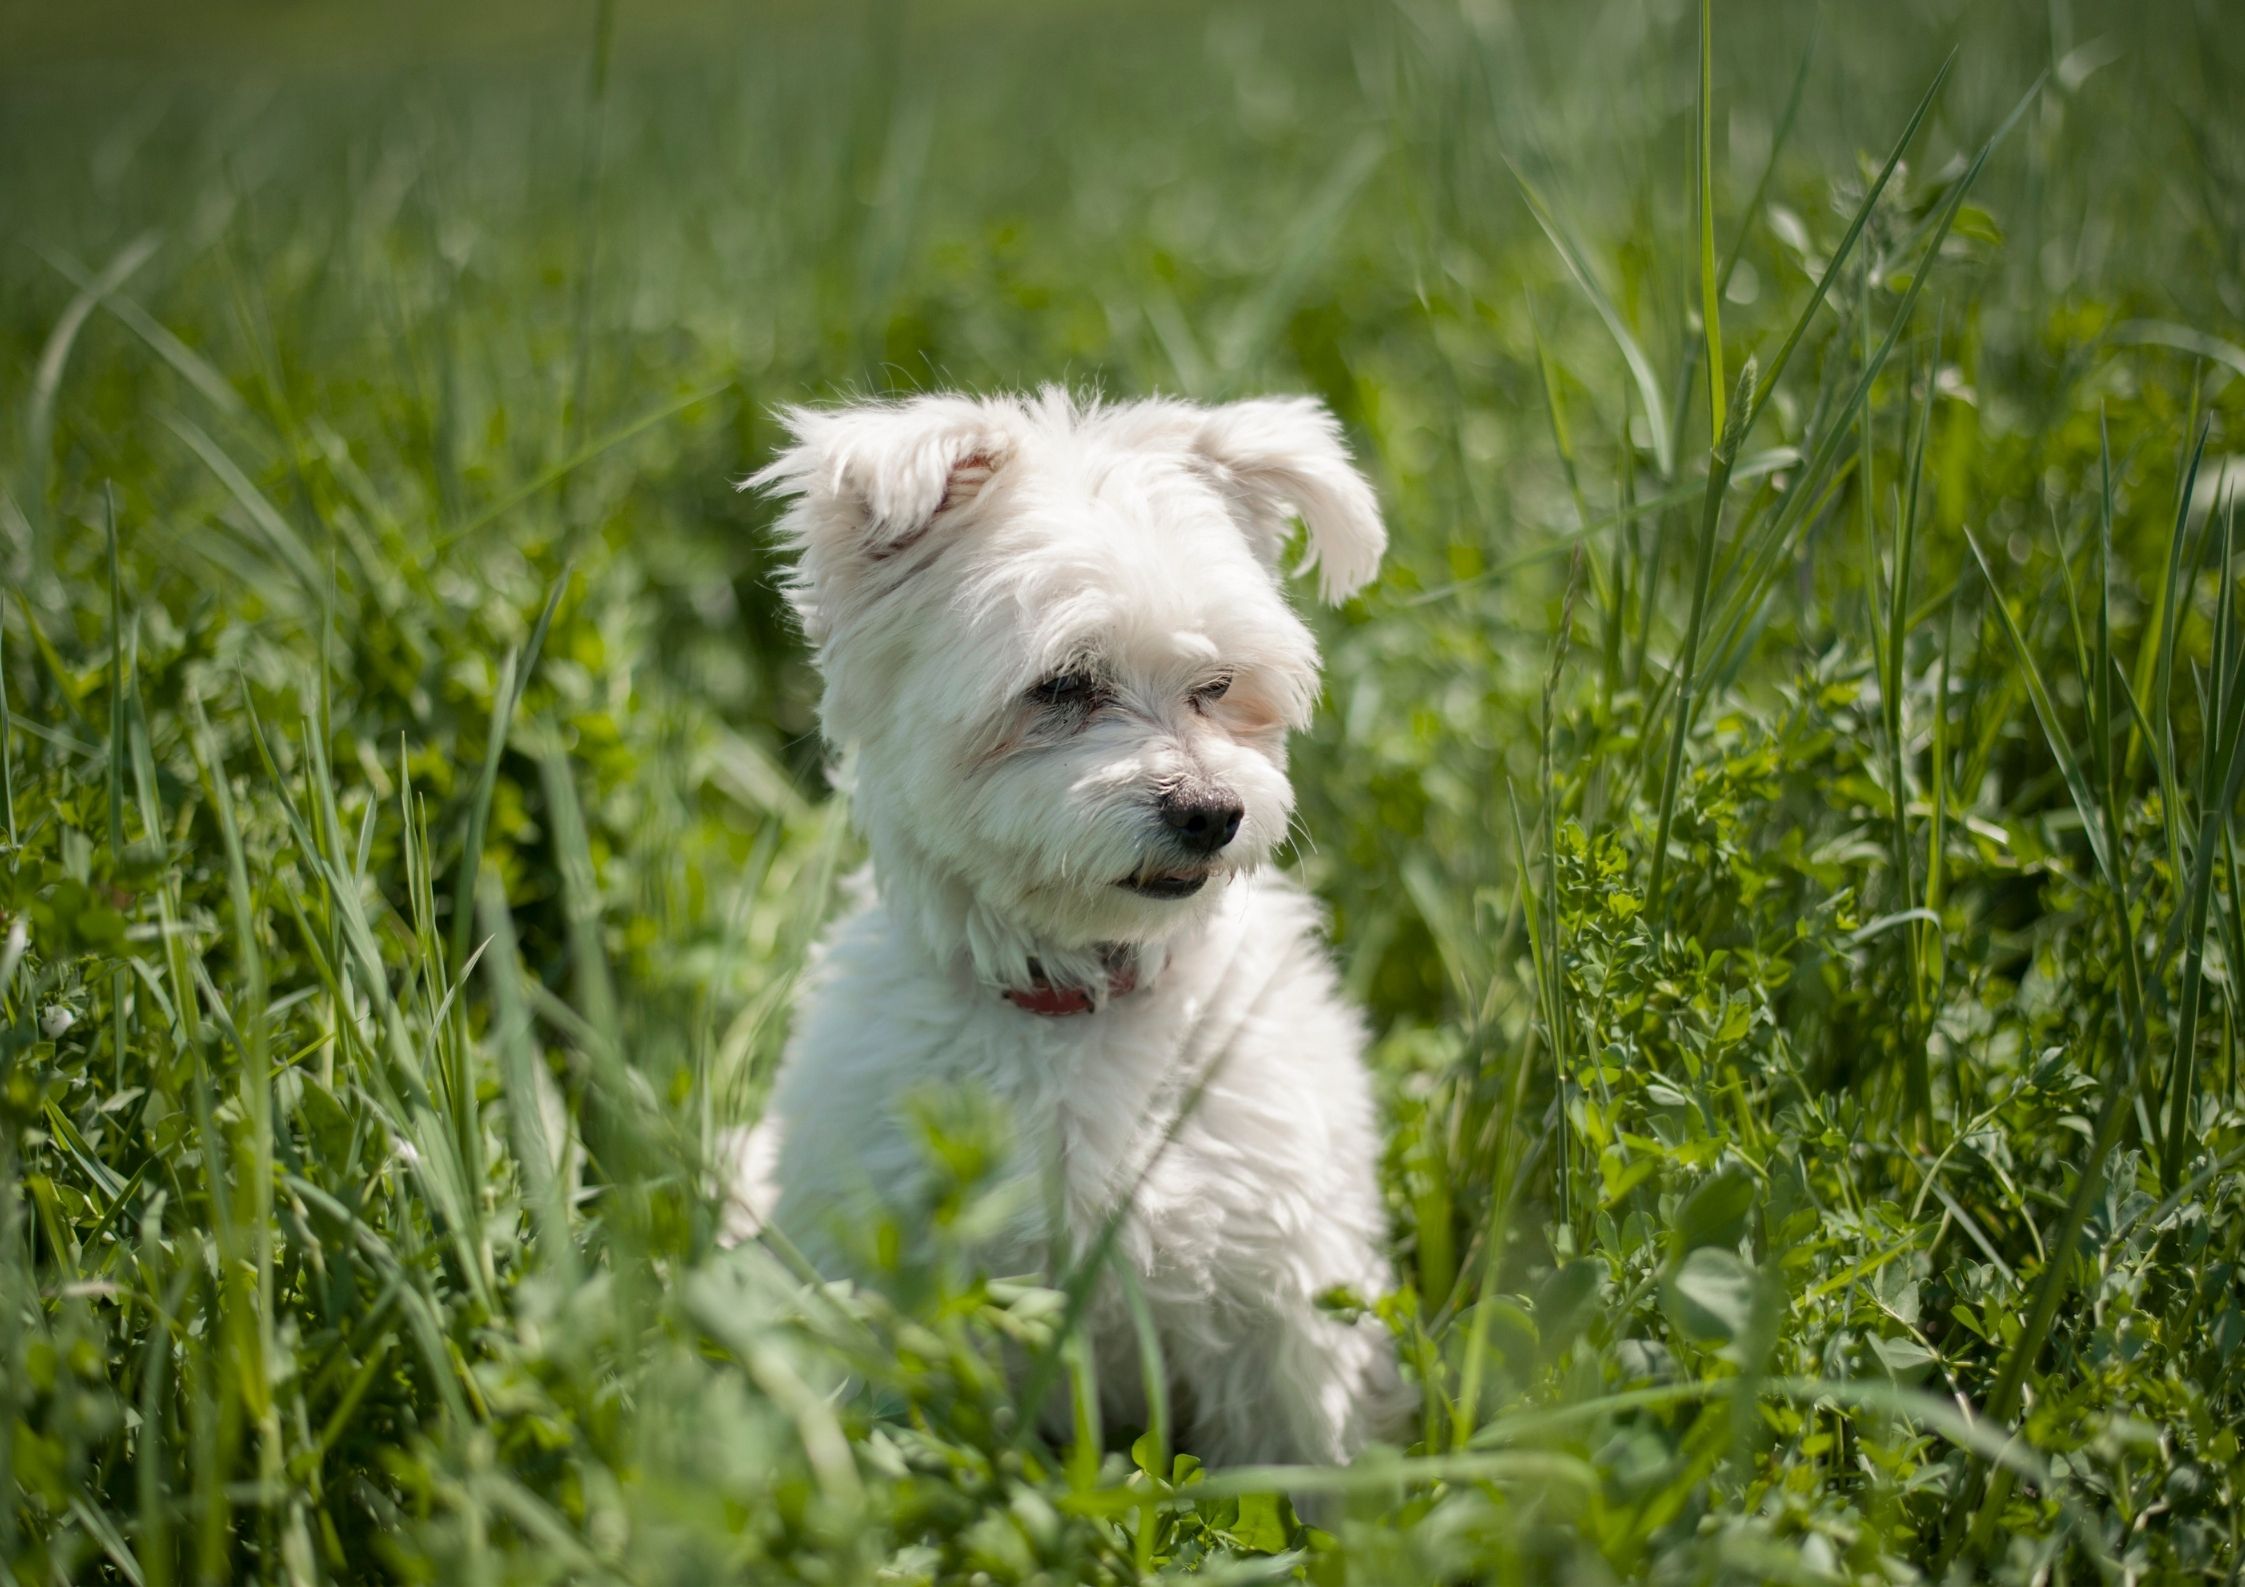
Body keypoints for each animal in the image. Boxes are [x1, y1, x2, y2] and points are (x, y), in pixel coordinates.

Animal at [731, 383, 1400, 1463]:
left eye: (1217, 687)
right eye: (1061, 685)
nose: (1211, 812)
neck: (1086, 1001)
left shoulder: (1284, 1305)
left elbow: (1304, 1459)